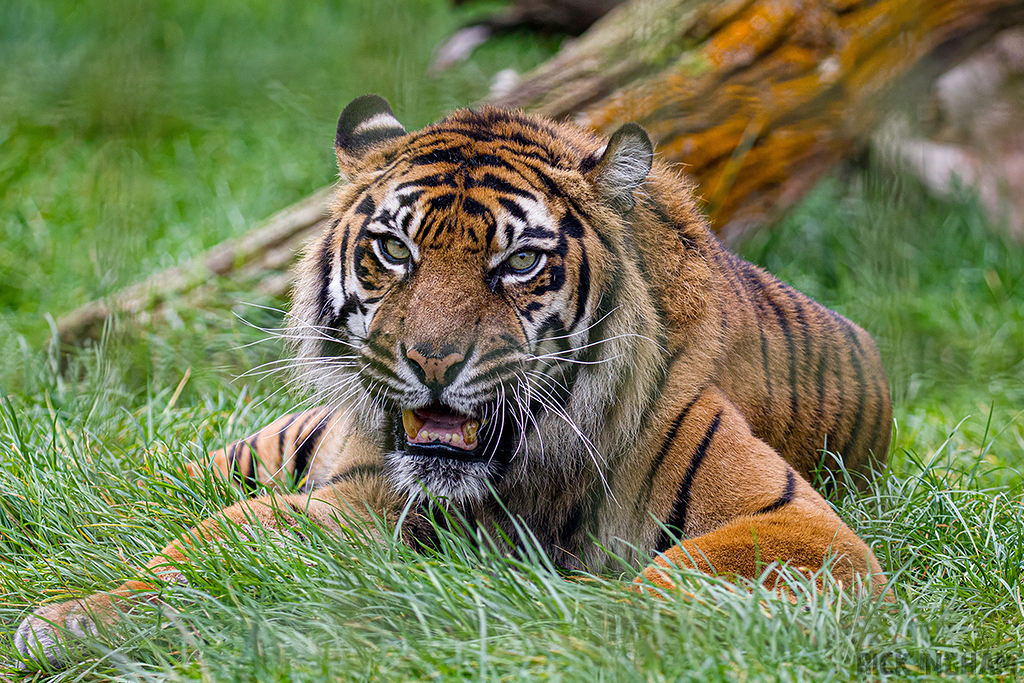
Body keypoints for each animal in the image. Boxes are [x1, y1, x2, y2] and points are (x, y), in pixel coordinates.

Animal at [15, 95, 892, 668]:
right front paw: (74, 618)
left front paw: (562, 633)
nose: (432, 360)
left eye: (521, 260)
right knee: (169, 480)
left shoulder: (801, 529)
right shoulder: (356, 500)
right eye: (394, 249)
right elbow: (208, 542)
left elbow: (666, 585)